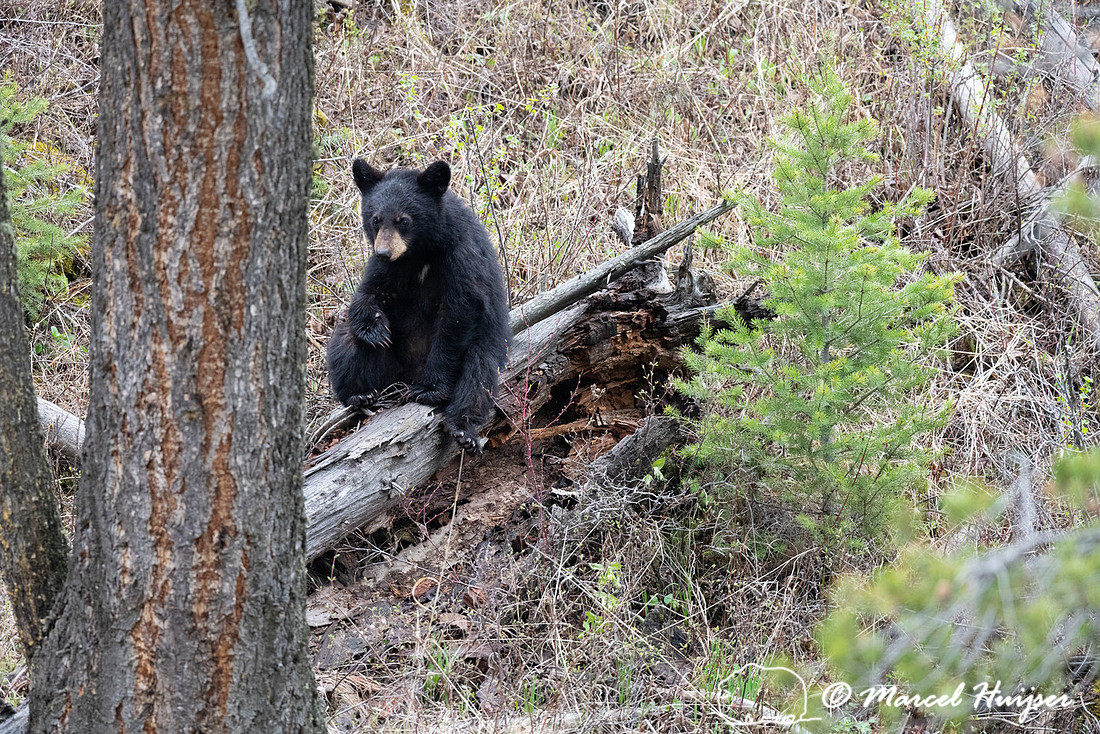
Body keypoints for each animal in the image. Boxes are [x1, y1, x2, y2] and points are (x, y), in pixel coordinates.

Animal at [326, 158, 510, 453]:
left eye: (403, 220)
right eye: (375, 219)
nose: (383, 252)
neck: (418, 253)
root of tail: (406, 376)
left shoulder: (462, 254)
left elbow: (461, 310)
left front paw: (431, 390)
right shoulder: (388, 269)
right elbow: (369, 292)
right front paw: (375, 329)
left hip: (486, 345)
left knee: (478, 373)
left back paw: (462, 428)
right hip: (386, 368)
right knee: (345, 341)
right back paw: (359, 394)